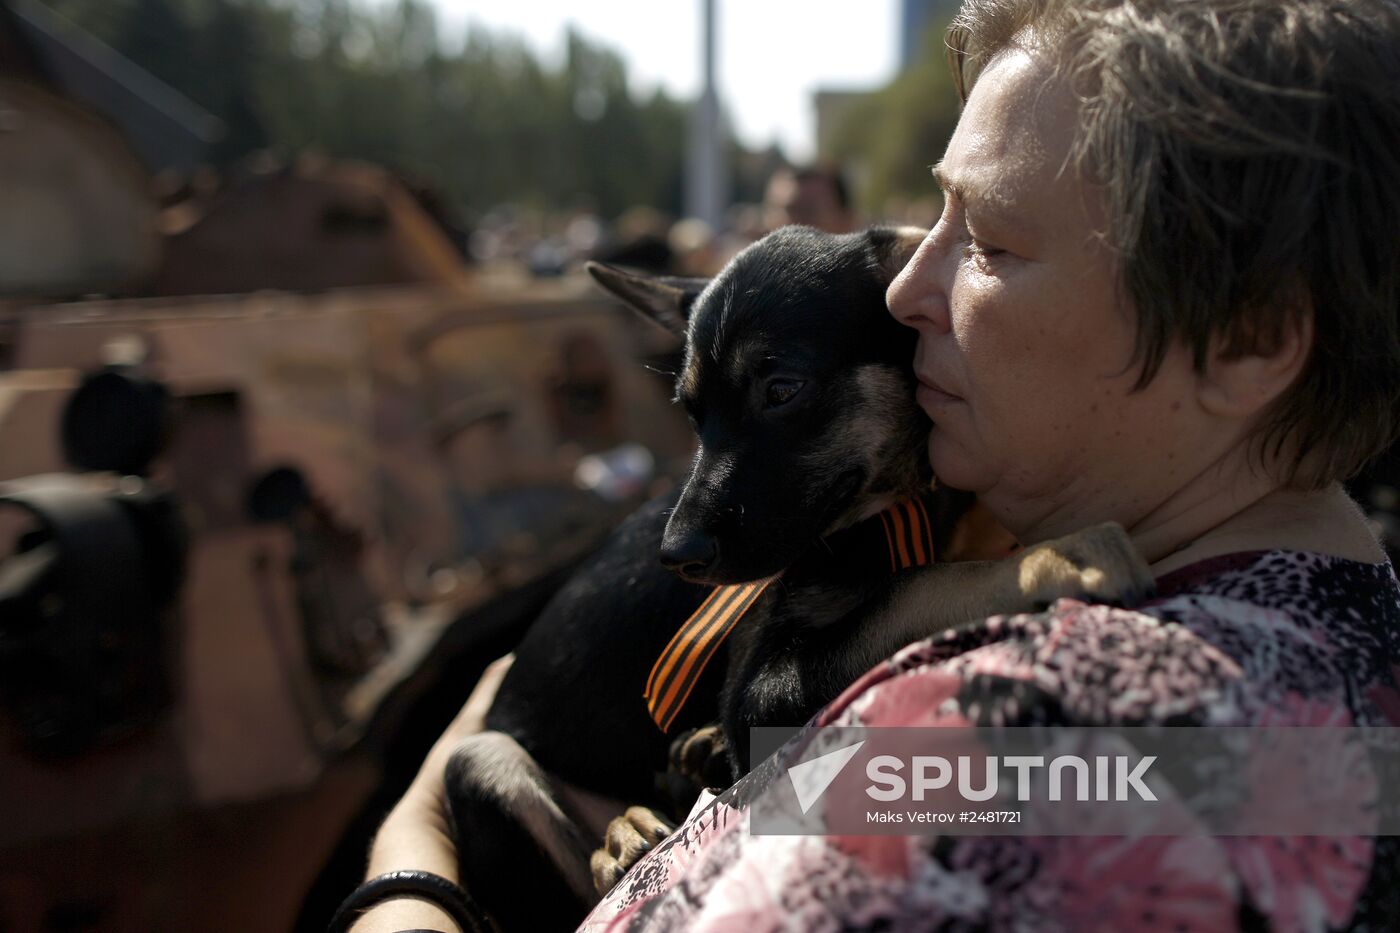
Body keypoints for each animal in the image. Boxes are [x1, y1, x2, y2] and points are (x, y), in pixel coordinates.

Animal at [445, 226, 1148, 930]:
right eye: (693, 416)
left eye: (781, 390)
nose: (675, 556)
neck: (887, 510)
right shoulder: (755, 695)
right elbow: (913, 586)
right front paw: (1053, 557)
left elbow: (915, 576)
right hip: (479, 760)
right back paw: (620, 839)